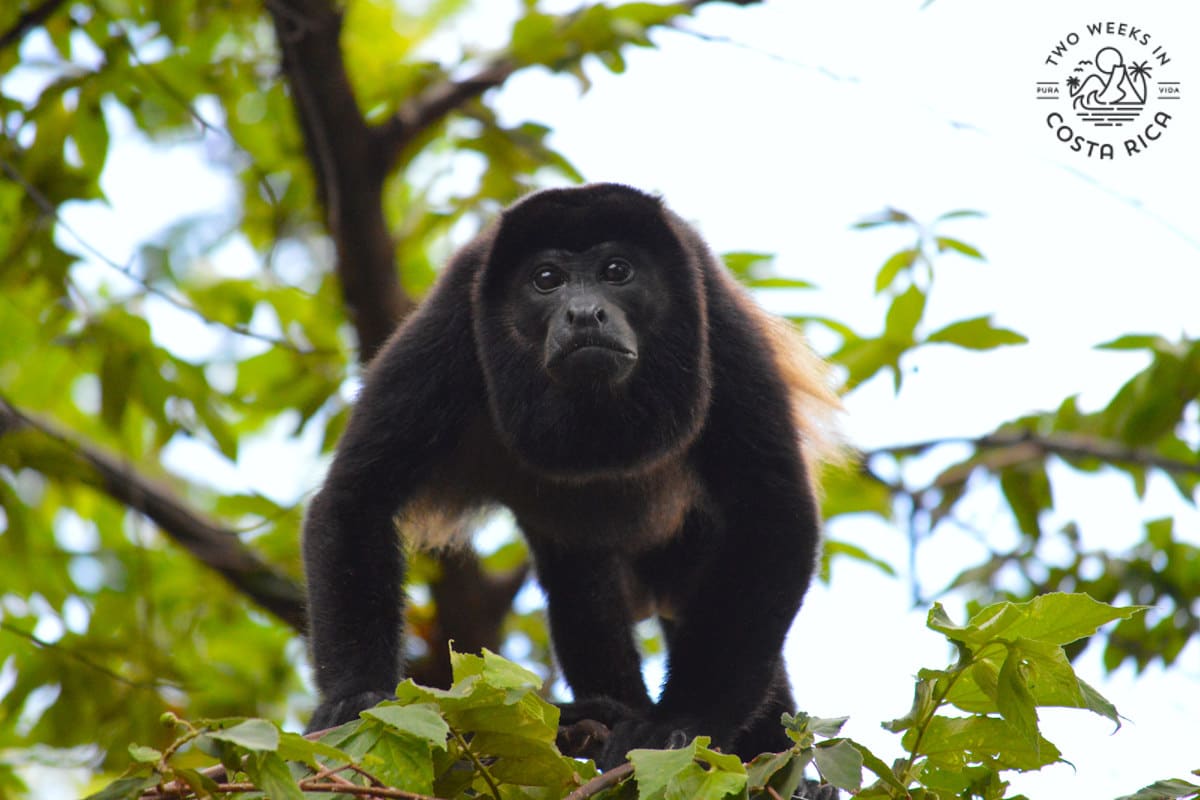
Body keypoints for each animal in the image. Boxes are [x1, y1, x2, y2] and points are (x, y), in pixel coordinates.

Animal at [302, 183, 841, 770]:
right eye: (546, 280)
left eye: (616, 271)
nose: (584, 313)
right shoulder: (450, 321)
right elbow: (358, 499)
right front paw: (354, 700)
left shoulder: (720, 323)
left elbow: (772, 512)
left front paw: (682, 722)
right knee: (582, 583)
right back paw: (604, 713)